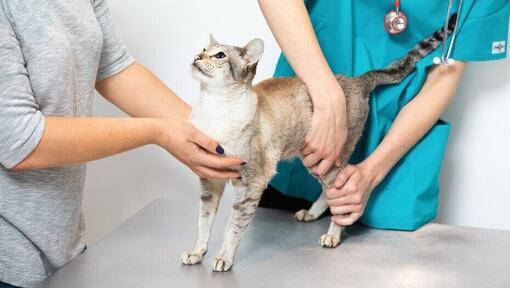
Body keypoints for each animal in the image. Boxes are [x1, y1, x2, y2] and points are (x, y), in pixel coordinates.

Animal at [181, 14, 456, 272]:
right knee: (328, 190)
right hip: (315, 160)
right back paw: (311, 214)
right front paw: (197, 252)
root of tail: (356, 80)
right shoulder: (210, 181)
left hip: (330, 157)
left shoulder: (252, 183)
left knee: (340, 192)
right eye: (203, 49)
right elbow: (203, 222)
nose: (196, 56)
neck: (215, 111)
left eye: (219, 55)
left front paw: (223, 258)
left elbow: (233, 226)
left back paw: (333, 235)